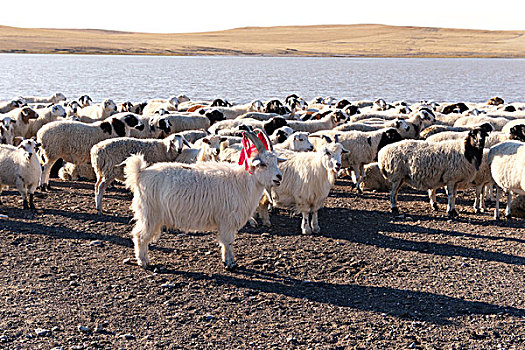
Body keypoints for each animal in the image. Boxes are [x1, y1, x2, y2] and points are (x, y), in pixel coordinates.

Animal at [123, 130, 284, 270]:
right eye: (263, 164)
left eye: (276, 161)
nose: (279, 177)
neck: (242, 181)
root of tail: (140, 173)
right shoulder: (226, 220)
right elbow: (228, 241)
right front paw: (230, 263)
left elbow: (226, 242)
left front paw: (228, 261)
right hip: (150, 214)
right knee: (140, 236)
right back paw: (143, 261)